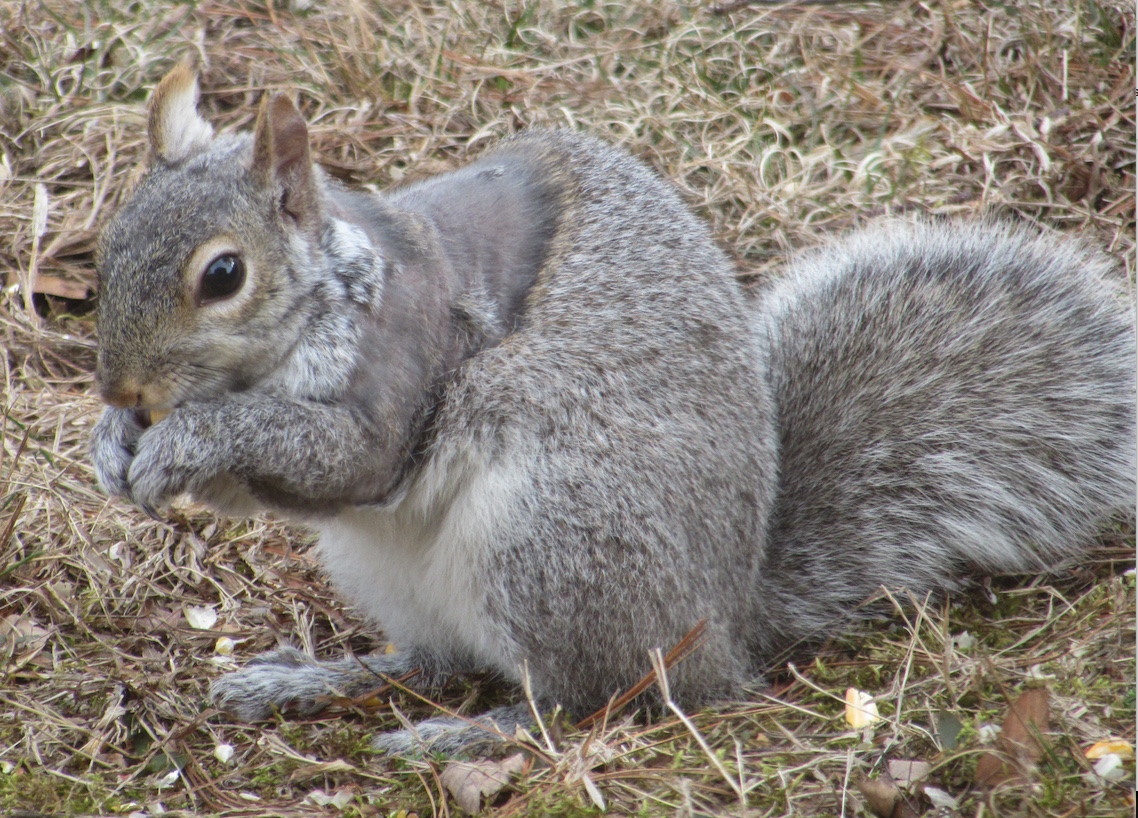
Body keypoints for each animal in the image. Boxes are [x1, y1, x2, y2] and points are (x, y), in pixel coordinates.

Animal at [91, 67, 1138, 759]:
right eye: (107, 244)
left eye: (223, 275)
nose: (120, 393)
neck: (330, 291)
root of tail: (724, 626)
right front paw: (113, 448)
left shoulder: (397, 382)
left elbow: (338, 460)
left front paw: (190, 439)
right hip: (394, 572)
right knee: (431, 659)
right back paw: (314, 678)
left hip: (553, 545)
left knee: (585, 698)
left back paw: (472, 735)